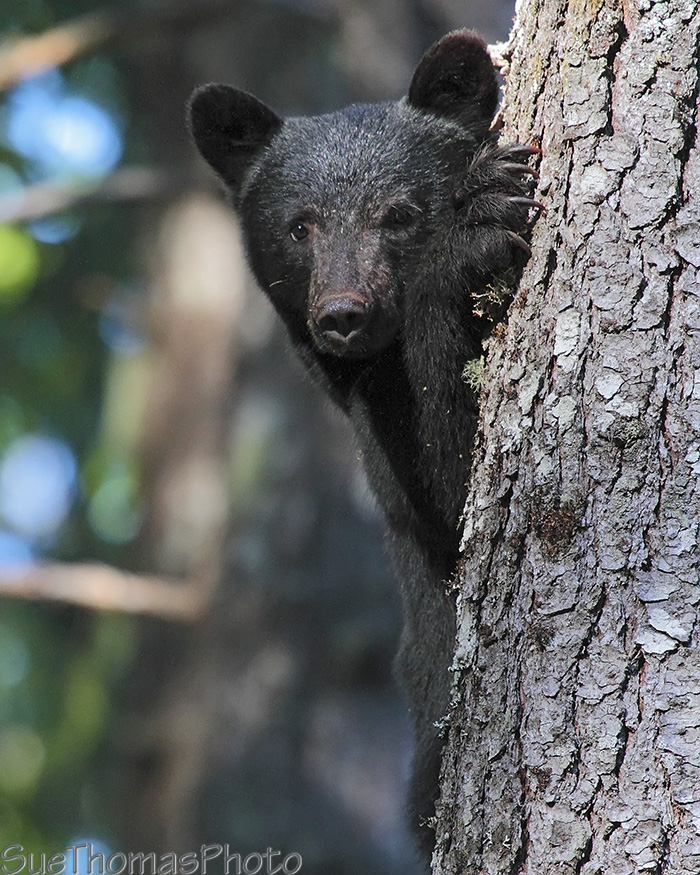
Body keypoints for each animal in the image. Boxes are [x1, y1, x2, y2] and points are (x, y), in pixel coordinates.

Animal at [187, 29, 537, 865]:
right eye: (300, 225)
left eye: (399, 214)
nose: (342, 313)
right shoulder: (374, 422)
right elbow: (451, 491)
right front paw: (479, 222)